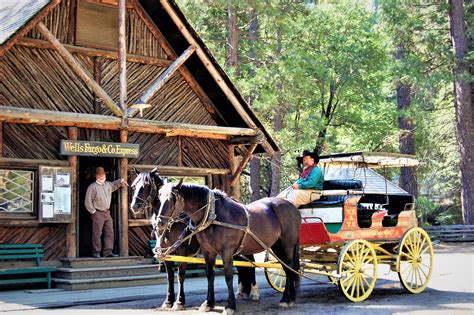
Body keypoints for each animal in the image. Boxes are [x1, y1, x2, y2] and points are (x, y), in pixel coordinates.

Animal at [157, 181, 300, 314]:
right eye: (159, 197)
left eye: (171, 198)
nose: (159, 223)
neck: (213, 214)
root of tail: (292, 207)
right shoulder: (208, 251)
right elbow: (210, 275)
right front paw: (209, 303)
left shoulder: (226, 251)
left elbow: (228, 277)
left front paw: (230, 306)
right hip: (277, 246)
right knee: (287, 269)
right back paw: (290, 297)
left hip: (287, 246)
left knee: (290, 268)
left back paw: (286, 299)